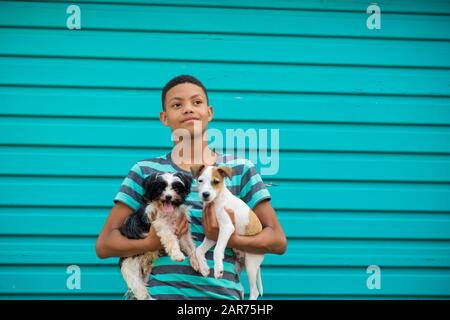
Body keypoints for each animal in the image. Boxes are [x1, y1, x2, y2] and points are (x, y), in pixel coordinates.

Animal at [119, 172, 199, 300]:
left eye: (176, 188)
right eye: (160, 188)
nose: (168, 197)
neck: (170, 212)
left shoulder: (183, 232)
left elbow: (191, 247)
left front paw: (199, 264)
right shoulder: (162, 226)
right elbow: (171, 240)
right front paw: (177, 255)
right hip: (132, 272)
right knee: (142, 293)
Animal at [192, 165, 266, 300]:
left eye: (216, 182)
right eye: (200, 181)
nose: (205, 194)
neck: (217, 200)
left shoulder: (226, 228)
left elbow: (217, 250)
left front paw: (218, 269)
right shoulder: (212, 234)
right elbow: (198, 250)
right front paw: (204, 268)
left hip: (251, 264)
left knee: (254, 291)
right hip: (240, 265)